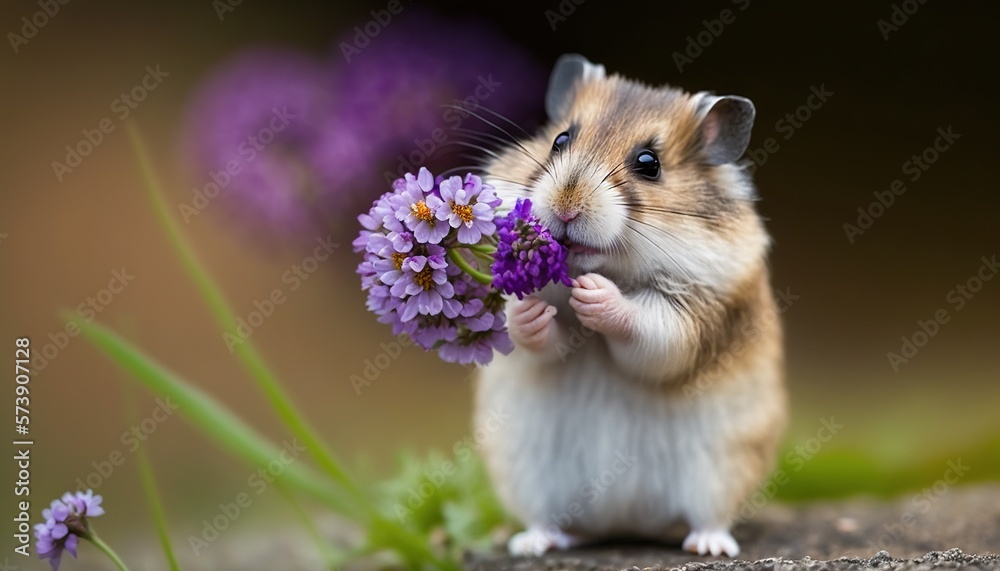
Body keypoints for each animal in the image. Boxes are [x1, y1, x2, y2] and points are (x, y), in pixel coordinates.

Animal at [472, 54, 784, 560]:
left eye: (649, 164)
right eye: (560, 140)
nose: (567, 207)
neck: (614, 265)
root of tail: (626, 524)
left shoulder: (690, 318)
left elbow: (643, 327)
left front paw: (594, 293)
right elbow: (543, 337)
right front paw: (531, 311)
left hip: (721, 470)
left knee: (709, 518)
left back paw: (709, 546)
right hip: (526, 475)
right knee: (551, 522)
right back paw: (532, 544)